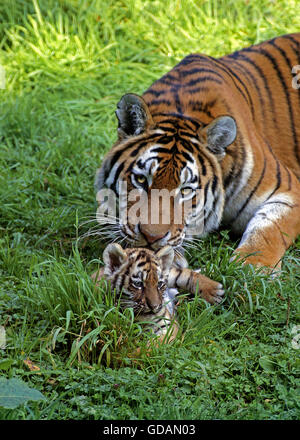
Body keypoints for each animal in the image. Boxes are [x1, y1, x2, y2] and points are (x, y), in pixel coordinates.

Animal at [96, 35, 300, 272]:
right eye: (140, 180)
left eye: (185, 190)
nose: (151, 238)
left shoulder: (288, 190)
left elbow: (269, 229)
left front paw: (252, 265)